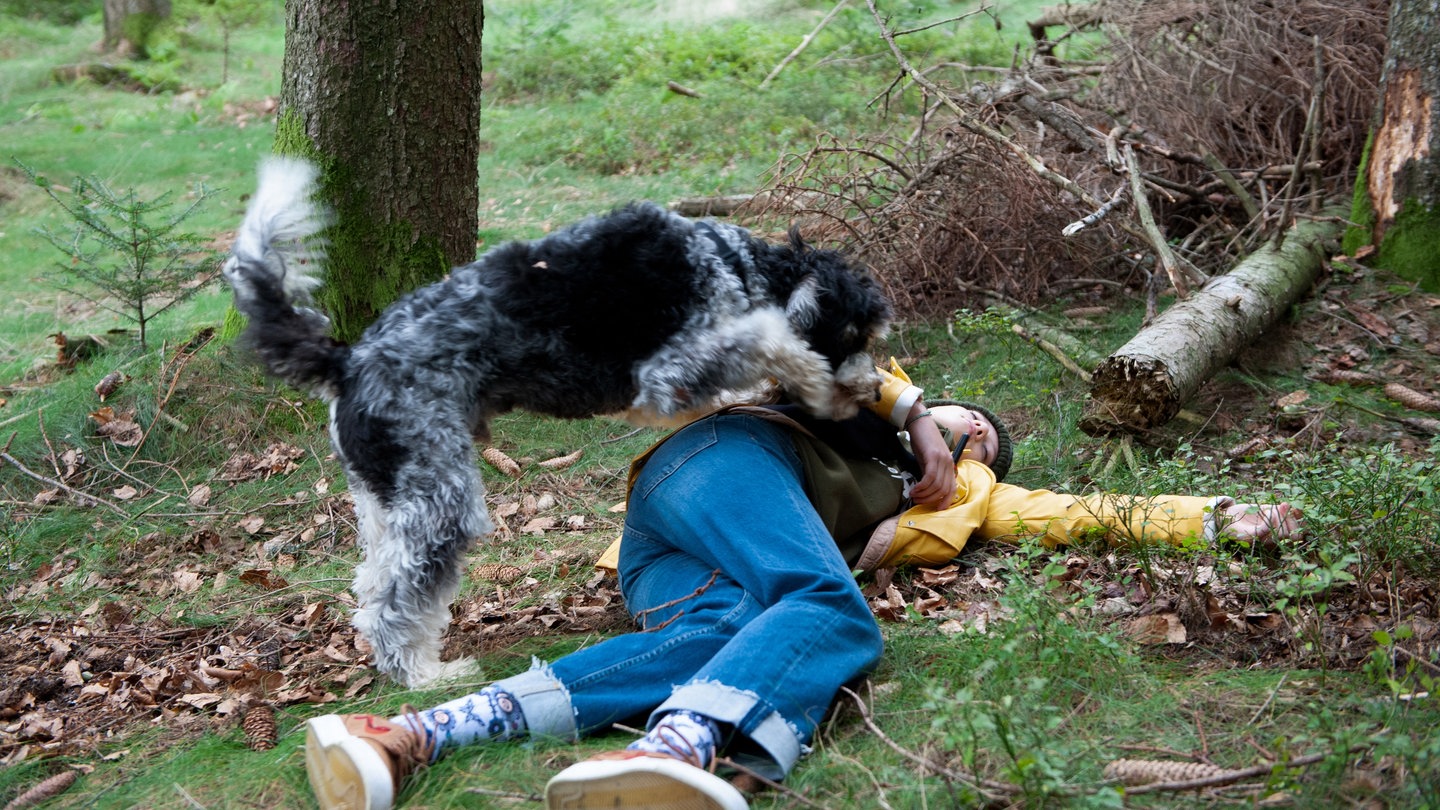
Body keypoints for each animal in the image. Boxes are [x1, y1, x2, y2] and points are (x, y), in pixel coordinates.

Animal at [220, 156, 887, 680]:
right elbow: (770, 337)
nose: (876, 386)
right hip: (443, 499)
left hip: (387, 498)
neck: (732, 263)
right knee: (394, 597)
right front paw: (820, 385)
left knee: (370, 585)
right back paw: (421, 674)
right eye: (855, 335)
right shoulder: (669, 373)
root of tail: (347, 361)